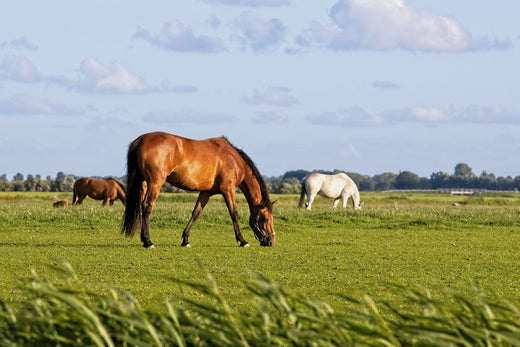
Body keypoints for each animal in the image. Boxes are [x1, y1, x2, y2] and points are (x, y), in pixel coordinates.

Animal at [122, 132, 276, 249]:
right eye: (266, 218)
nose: (271, 242)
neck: (233, 159)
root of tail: (141, 139)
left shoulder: (206, 192)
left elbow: (196, 213)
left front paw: (185, 240)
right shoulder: (228, 190)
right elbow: (234, 214)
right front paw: (243, 241)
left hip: (143, 183)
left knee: (140, 207)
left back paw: (144, 240)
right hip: (155, 183)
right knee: (147, 206)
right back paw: (148, 242)